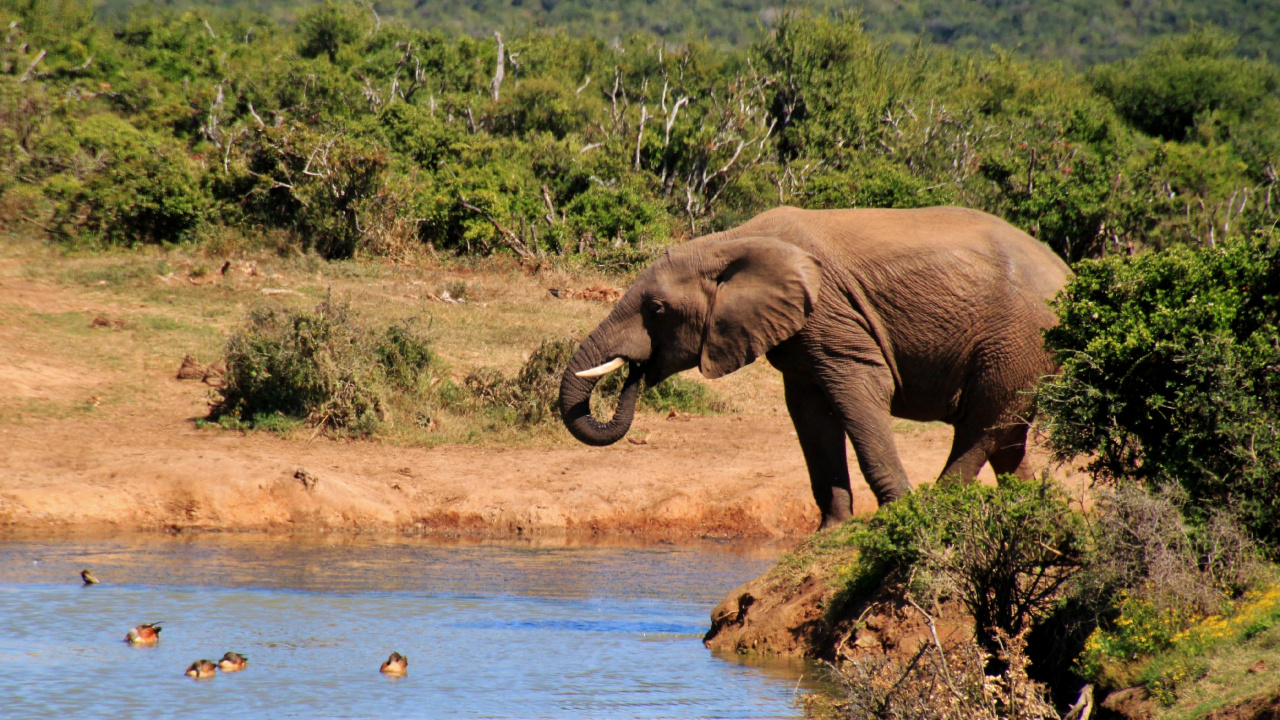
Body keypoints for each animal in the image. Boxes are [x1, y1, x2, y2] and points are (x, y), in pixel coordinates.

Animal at [560, 206, 1070, 527]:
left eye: (657, 309)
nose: (636, 371)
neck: (730, 242)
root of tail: (1066, 271)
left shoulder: (833, 317)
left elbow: (859, 394)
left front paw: (897, 515)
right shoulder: (800, 339)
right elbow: (811, 415)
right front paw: (832, 529)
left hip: (1017, 339)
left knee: (982, 424)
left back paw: (935, 506)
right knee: (1008, 435)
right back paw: (1033, 513)